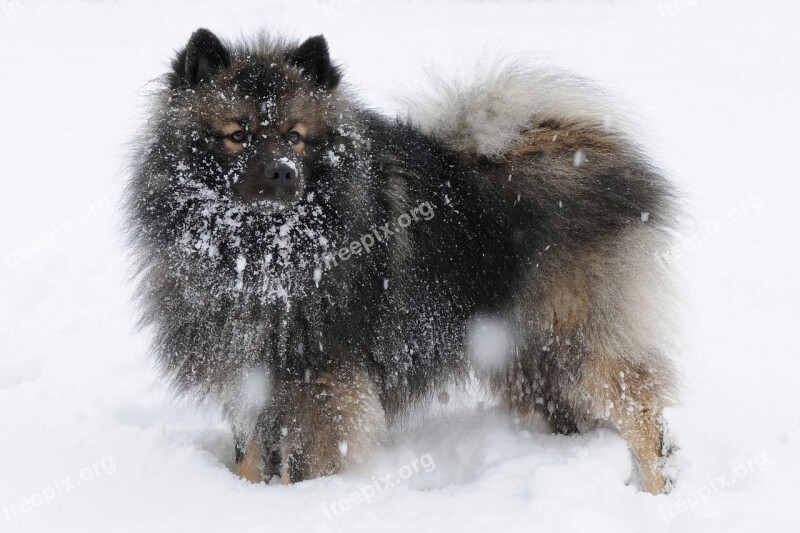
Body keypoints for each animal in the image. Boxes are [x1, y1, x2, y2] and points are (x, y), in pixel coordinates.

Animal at [128, 29, 680, 492]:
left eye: (295, 136)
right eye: (238, 134)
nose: (283, 172)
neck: (261, 254)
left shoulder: (320, 384)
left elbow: (302, 464)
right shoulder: (247, 373)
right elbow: (249, 454)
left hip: (581, 341)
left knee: (643, 415)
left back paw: (656, 492)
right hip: (526, 357)